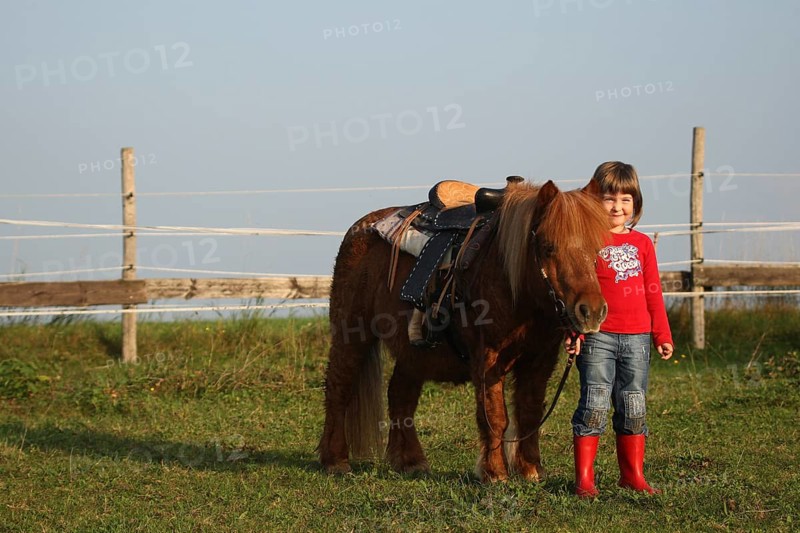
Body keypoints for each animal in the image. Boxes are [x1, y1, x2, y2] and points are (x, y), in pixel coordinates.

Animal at [318, 179, 610, 482]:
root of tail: (360, 229)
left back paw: (410, 461)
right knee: (339, 386)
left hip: (413, 353)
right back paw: (335, 459)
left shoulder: (540, 359)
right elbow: (494, 416)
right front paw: (495, 472)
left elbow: (529, 412)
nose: (591, 311)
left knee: (400, 395)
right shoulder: (488, 358)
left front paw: (531, 470)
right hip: (352, 334)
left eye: (597, 248)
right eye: (549, 246)